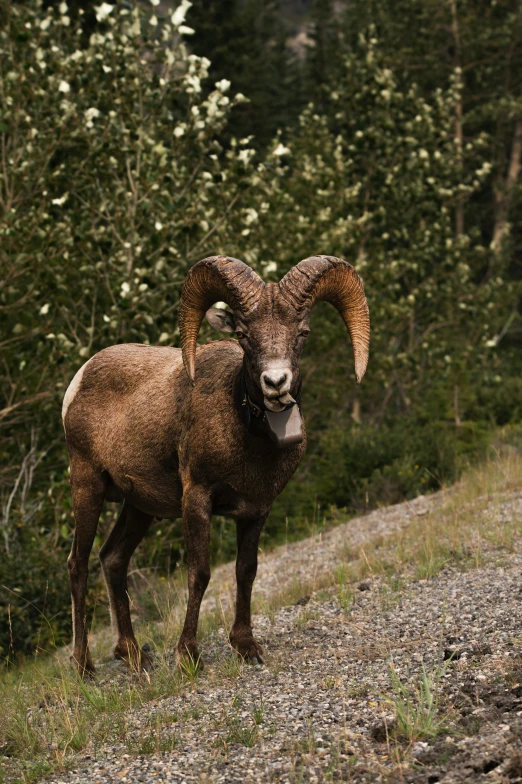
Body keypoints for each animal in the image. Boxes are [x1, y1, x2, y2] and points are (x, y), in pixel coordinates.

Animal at [63, 256, 368, 672]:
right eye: (243, 335)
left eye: (302, 332)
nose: (276, 382)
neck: (249, 440)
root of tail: (77, 383)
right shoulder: (197, 499)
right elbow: (200, 573)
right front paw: (188, 655)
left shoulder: (257, 509)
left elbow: (246, 571)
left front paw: (246, 647)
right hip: (87, 486)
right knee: (77, 565)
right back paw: (84, 666)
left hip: (138, 507)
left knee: (113, 560)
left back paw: (134, 655)